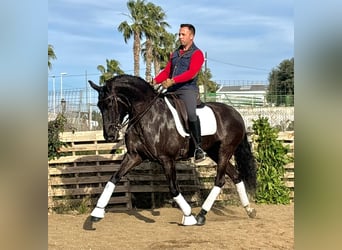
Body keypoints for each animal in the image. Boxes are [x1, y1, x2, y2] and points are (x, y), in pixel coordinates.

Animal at [88, 74, 256, 227]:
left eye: (110, 103)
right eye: (99, 105)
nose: (109, 136)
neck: (148, 115)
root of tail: (236, 114)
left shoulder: (166, 159)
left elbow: (174, 188)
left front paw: (189, 216)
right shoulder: (134, 156)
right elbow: (113, 178)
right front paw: (97, 212)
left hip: (224, 151)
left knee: (220, 180)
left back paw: (201, 215)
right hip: (215, 152)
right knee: (236, 176)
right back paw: (249, 210)